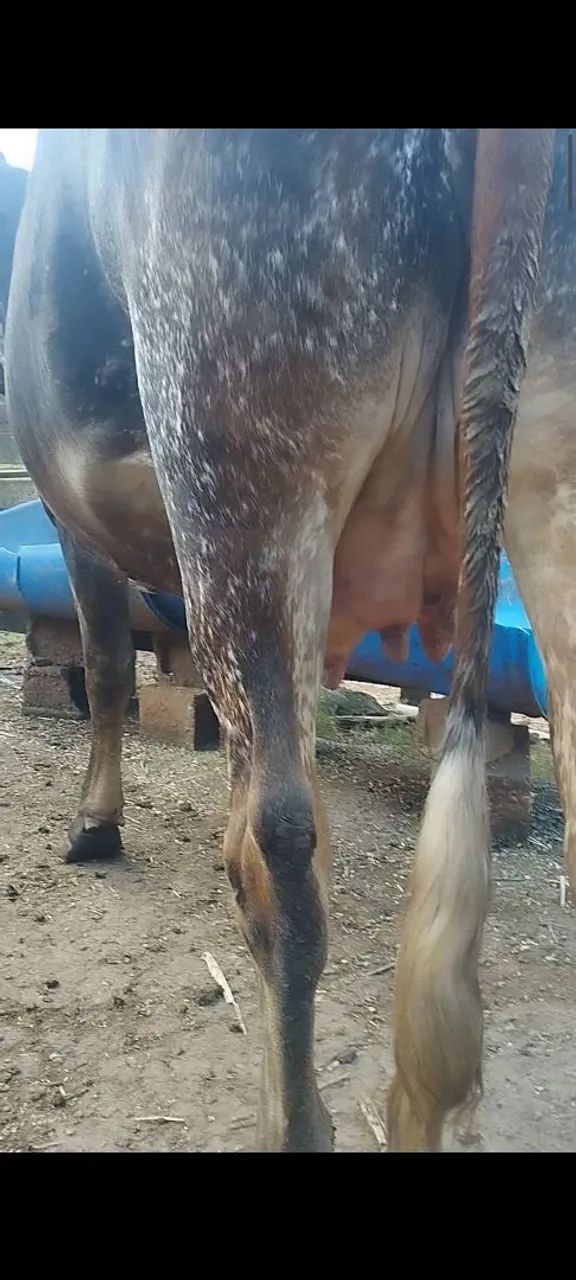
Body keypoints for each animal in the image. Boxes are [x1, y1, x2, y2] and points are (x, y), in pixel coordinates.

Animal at [3, 128, 568, 1153]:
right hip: (549, 478)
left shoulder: (76, 525)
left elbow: (104, 669)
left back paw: (293, 1120)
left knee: (279, 848)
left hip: (240, 479)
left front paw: (94, 823)